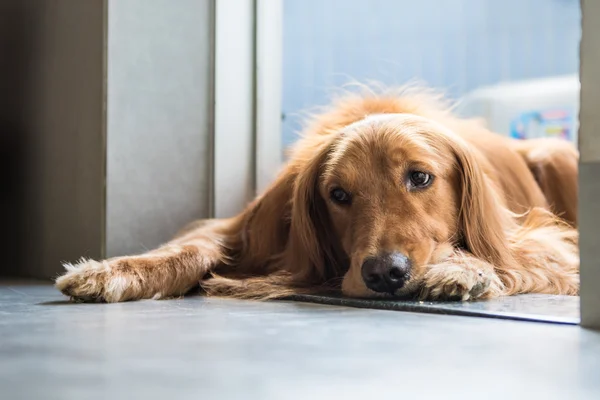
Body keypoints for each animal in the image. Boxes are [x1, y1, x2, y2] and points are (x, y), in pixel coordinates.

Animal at [54, 86, 580, 302]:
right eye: (338, 194)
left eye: (420, 178)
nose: (384, 274)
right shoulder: (246, 226)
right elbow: (192, 247)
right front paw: (111, 271)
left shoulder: (540, 240)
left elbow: (519, 257)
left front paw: (460, 270)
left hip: (557, 154)